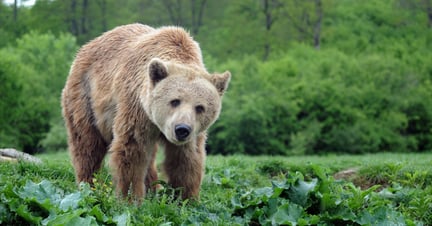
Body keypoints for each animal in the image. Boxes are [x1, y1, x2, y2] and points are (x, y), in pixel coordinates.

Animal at [60, 23, 231, 200]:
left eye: (200, 107)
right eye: (175, 101)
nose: (182, 129)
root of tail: (85, 48)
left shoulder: (192, 133)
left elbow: (186, 159)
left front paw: (185, 198)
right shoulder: (136, 106)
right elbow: (132, 151)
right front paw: (130, 197)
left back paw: (152, 189)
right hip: (85, 97)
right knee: (87, 144)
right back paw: (89, 187)